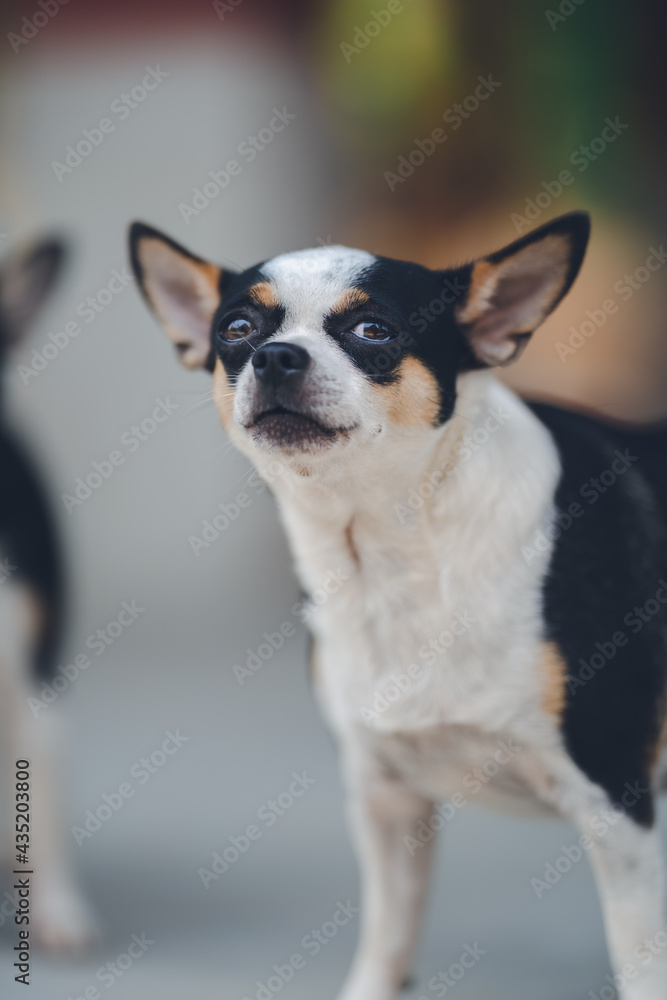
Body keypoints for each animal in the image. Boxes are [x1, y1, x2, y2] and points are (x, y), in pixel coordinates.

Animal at [130, 213, 667, 1000]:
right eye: (236, 328)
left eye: (373, 331)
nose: (274, 356)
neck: (393, 555)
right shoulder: (386, 801)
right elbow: (387, 940)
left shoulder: (617, 809)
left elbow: (640, 962)